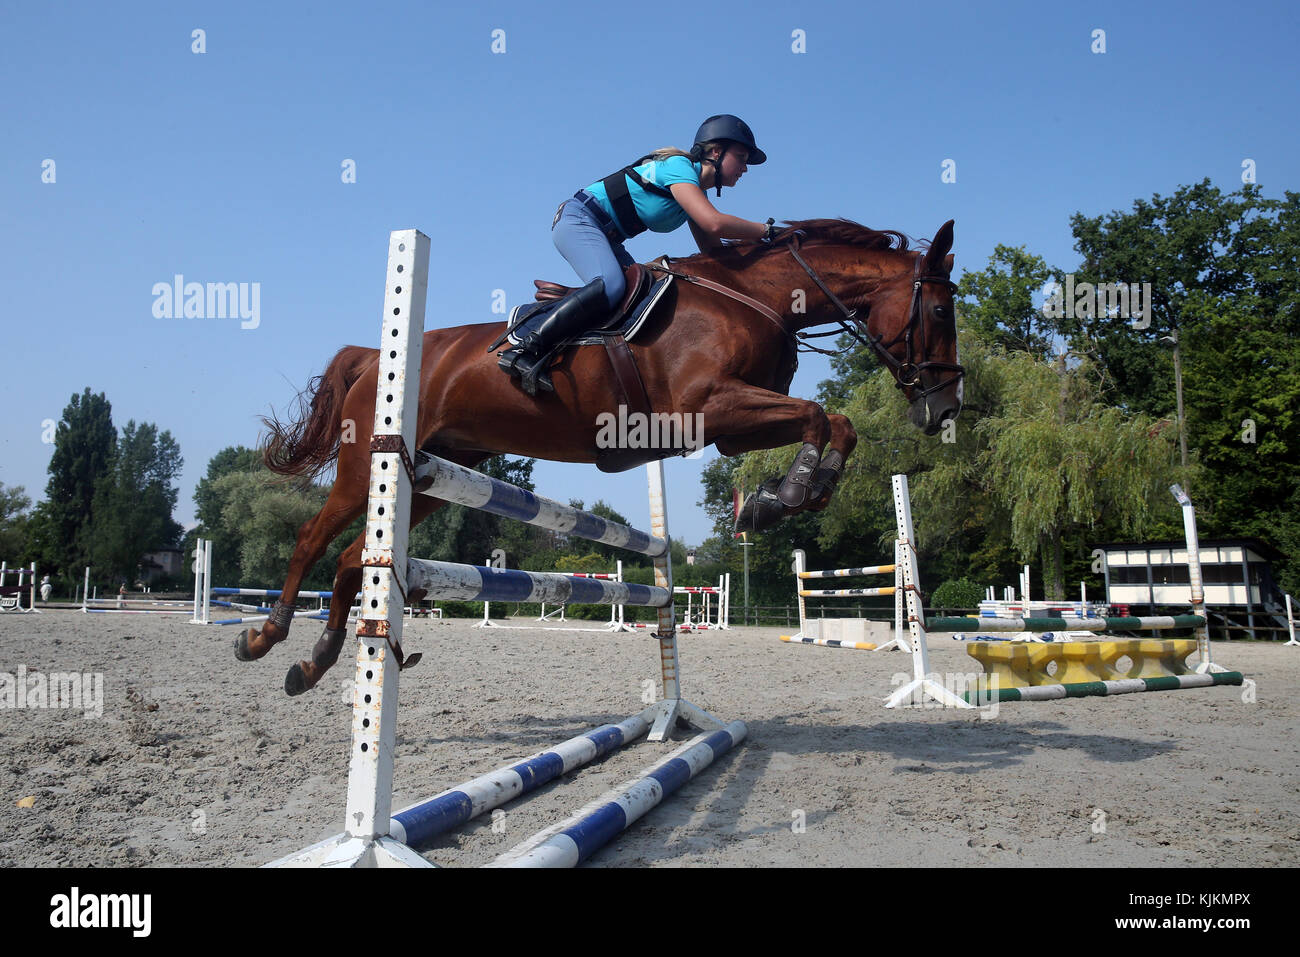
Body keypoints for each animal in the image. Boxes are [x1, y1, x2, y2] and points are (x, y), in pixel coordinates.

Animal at [235, 219, 963, 695]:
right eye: (940, 312)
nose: (945, 409)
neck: (757, 297)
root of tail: (372, 356)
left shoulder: (730, 426)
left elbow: (837, 421)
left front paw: (793, 493)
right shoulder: (711, 406)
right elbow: (819, 413)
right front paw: (780, 498)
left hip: (433, 481)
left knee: (355, 558)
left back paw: (315, 661)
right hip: (369, 464)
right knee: (311, 538)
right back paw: (265, 636)